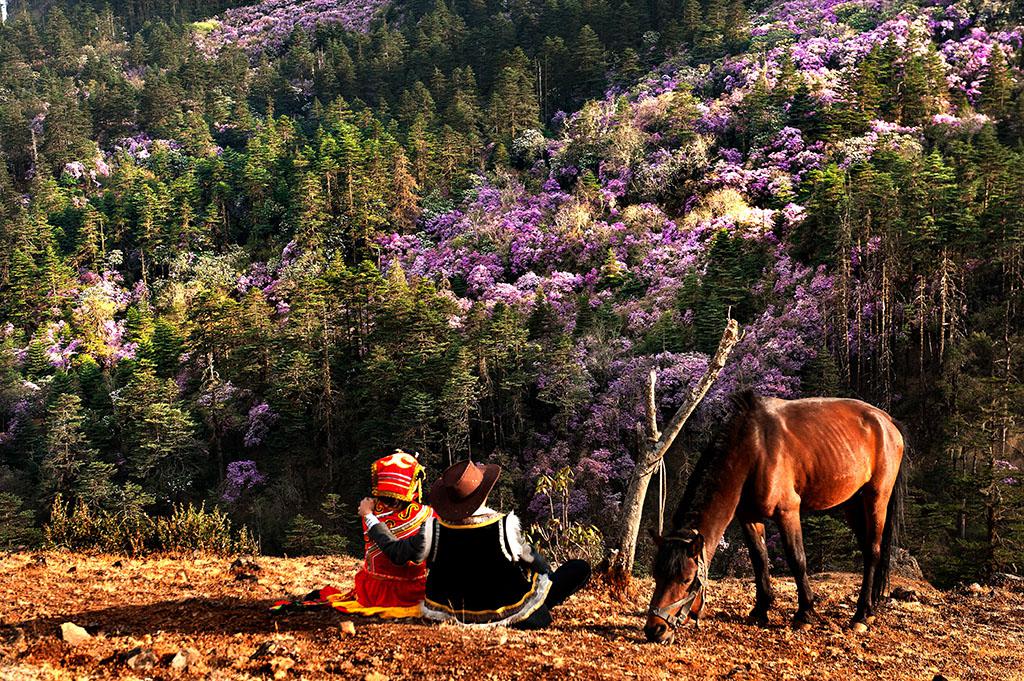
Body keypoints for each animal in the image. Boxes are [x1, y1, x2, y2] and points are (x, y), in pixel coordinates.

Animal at [643, 391, 909, 639]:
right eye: (657, 574)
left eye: (686, 580)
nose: (655, 629)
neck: (753, 448)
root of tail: (886, 421)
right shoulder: (749, 517)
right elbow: (759, 559)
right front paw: (760, 610)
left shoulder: (787, 511)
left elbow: (797, 559)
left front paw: (804, 613)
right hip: (853, 502)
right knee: (866, 549)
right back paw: (869, 609)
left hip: (876, 498)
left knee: (873, 551)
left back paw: (861, 615)